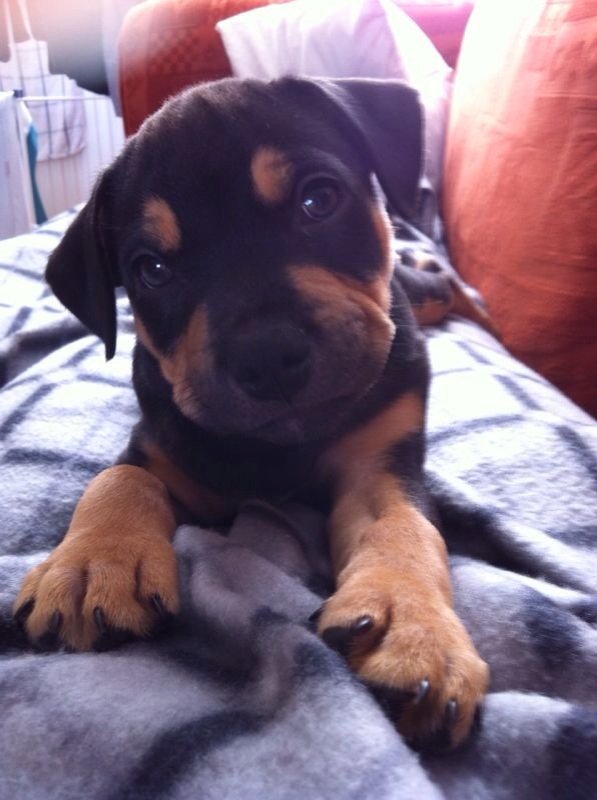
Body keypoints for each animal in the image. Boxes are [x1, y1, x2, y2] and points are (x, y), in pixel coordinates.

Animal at [15, 78, 488, 748]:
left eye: (319, 200)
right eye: (151, 270)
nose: (267, 357)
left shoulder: (383, 464)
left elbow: (405, 527)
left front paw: (414, 629)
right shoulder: (160, 442)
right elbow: (119, 477)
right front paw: (89, 565)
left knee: (442, 288)